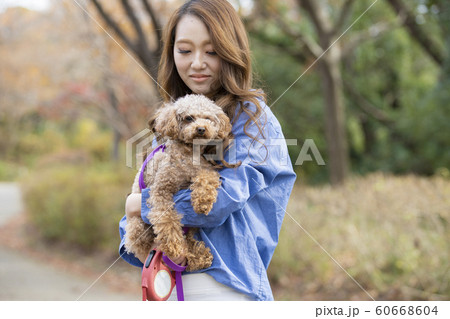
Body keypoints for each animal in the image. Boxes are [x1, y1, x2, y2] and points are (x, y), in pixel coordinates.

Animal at [123, 94, 236, 272]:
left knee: (189, 238)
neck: (189, 153)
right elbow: (167, 219)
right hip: (137, 227)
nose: (201, 129)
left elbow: (207, 179)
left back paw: (199, 256)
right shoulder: (160, 190)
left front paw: (203, 202)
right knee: (142, 241)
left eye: (208, 118)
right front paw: (173, 246)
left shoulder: (204, 170)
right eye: (189, 118)